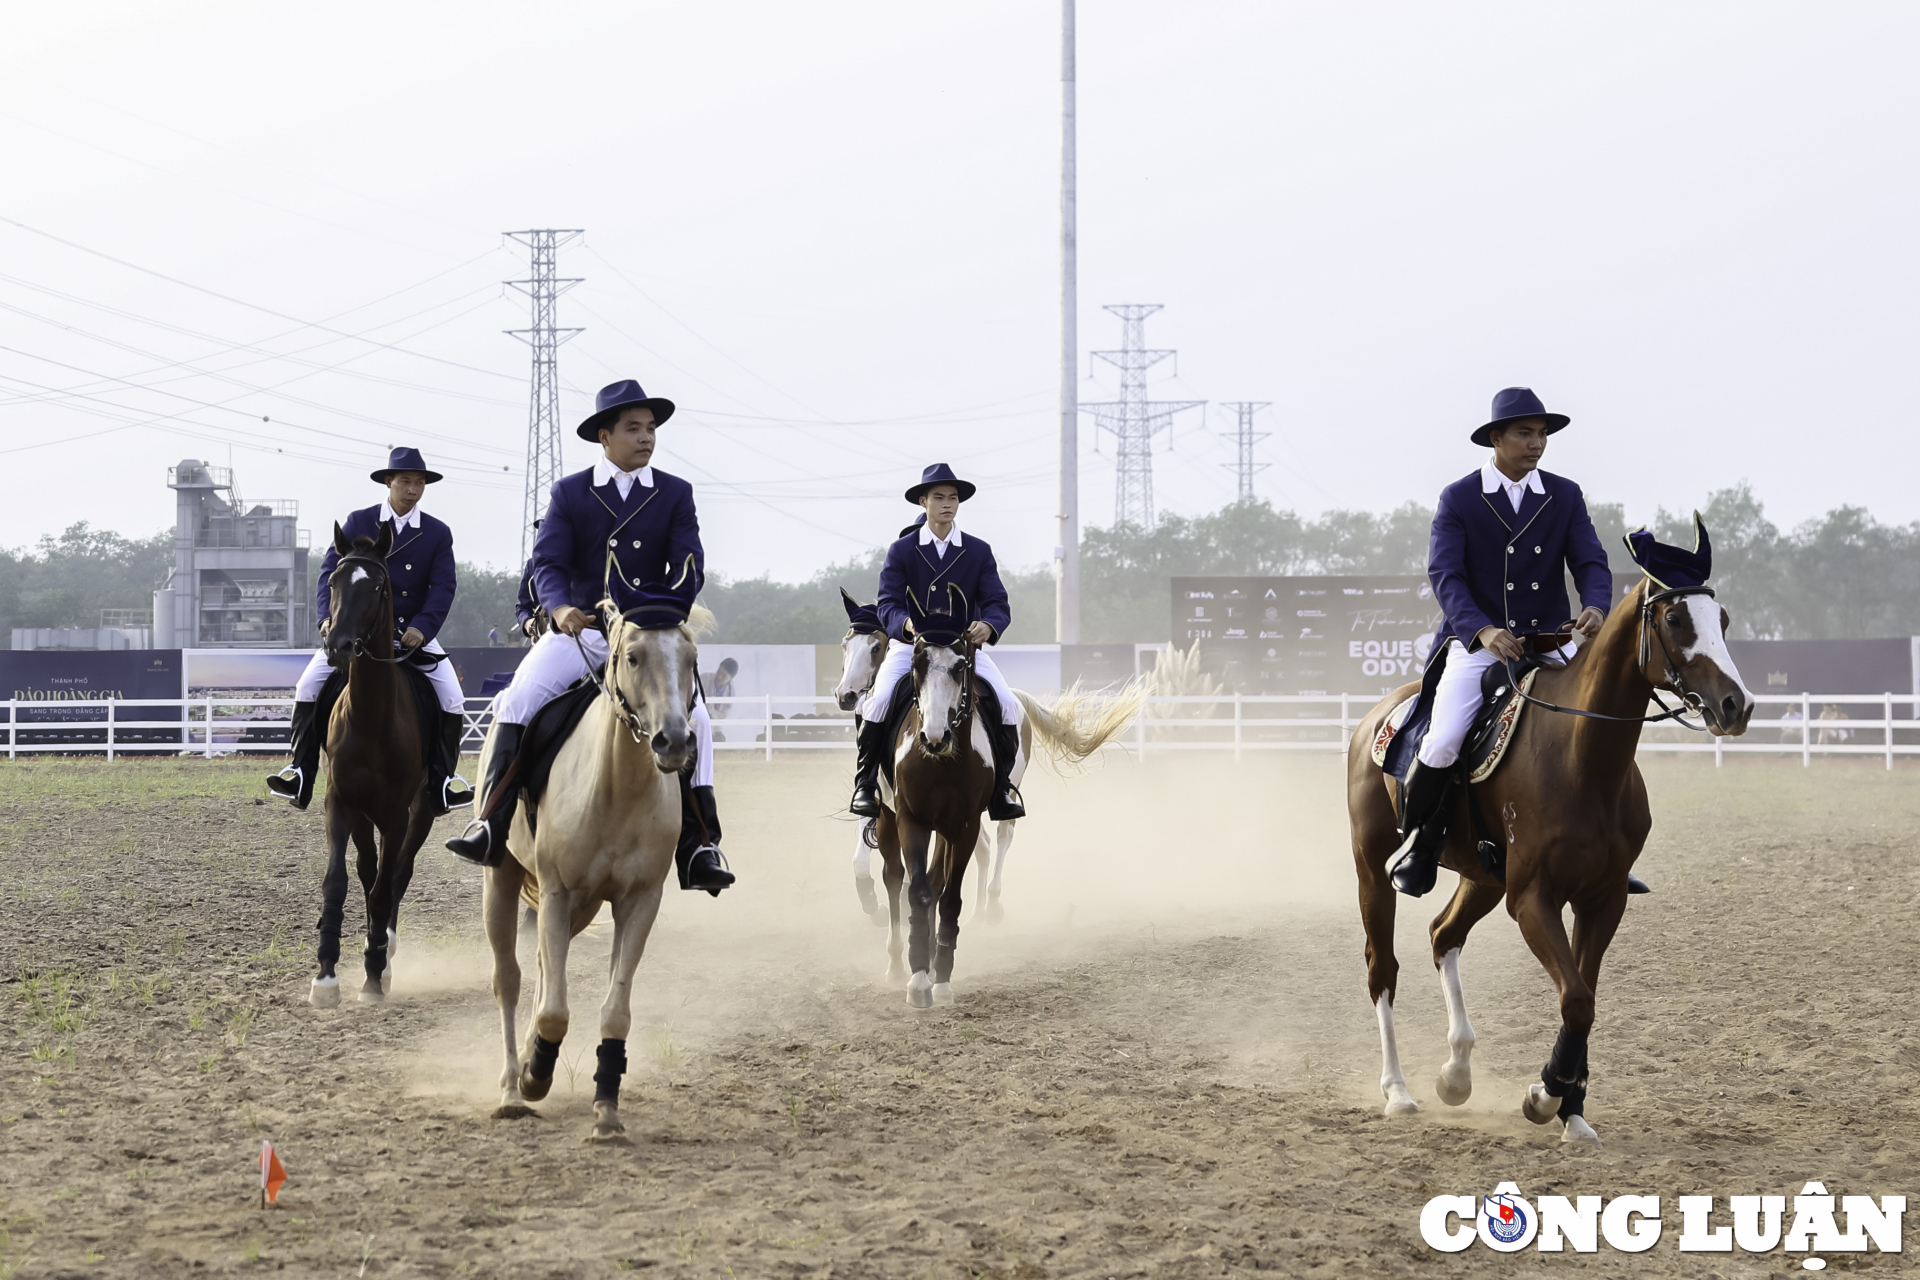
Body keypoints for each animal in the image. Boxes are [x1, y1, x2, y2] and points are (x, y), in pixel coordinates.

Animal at [309, 525, 437, 1005]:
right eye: (333, 582)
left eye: (379, 587)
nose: (339, 646)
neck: (371, 718)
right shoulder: (341, 803)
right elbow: (338, 880)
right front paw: (326, 975)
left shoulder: (398, 814)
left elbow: (387, 887)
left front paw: (373, 976)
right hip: (365, 815)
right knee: (368, 870)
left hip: (419, 813)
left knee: (397, 873)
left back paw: (383, 954)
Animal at [487, 606, 706, 1143]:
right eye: (633, 657)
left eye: (690, 658)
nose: (674, 742)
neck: (617, 787)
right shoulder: (557, 891)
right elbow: (554, 1011)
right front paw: (536, 1075)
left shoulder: (639, 901)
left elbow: (615, 1010)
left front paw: (606, 1107)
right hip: (503, 882)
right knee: (510, 979)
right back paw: (511, 1088)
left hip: (575, 908)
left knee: (543, 969)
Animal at [871, 637, 1136, 1005]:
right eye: (916, 666)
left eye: (960, 668)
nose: (934, 737)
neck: (943, 761)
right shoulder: (911, 818)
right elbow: (918, 890)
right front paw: (919, 977)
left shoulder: (964, 824)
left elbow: (949, 896)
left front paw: (941, 978)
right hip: (893, 817)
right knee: (896, 878)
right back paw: (900, 962)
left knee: (1000, 838)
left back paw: (989, 907)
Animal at [1351, 521, 1758, 1151]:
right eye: (1673, 618)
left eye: (1724, 619)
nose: (1736, 705)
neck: (1582, 760)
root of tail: (1378, 716)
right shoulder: (1532, 899)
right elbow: (1577, 999)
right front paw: (1544, 1096)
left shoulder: (1602, 899)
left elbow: (1584, 998)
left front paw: (1572, 1111)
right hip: (1375, 872)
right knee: (1382, 968)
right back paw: (1398, 1091)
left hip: (1483, 879)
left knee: (1444, 934)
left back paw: (1456, 1074)